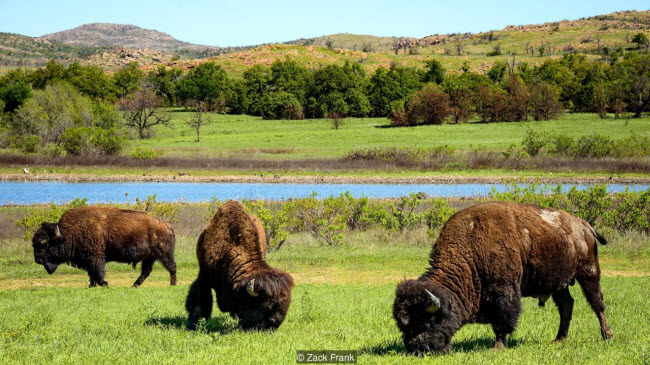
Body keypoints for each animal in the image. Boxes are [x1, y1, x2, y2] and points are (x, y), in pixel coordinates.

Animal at [31, 205, 176, 288]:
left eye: (44, 244)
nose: (37, 260)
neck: (68, 233)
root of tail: (167, 225)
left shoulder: (95, 257)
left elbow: (97, 271)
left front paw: (104, 283)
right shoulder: (87, 259)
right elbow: (91, 273)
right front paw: (92, 285)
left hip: (163, 254)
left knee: (171, 266)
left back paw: (172, 284)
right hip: (149, 257)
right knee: (146, 270)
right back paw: (134, 285)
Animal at [184, 200, 292, 332]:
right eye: (266, 306)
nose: (273, 326)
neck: (229, 248)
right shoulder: (204, 275)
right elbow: (199, 300)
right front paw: (193, 325)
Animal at [390, 200, 612, 354]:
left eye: (426, 322)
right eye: (403, 325)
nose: (416, 350)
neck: (472, 247)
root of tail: (583, 224)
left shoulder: (503, 291)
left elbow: (502, 319)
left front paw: (497, 346)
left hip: (588, 272)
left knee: (597, 303)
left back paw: (606, 335)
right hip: (559, 283)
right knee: (566, 305)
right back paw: (559, 339)